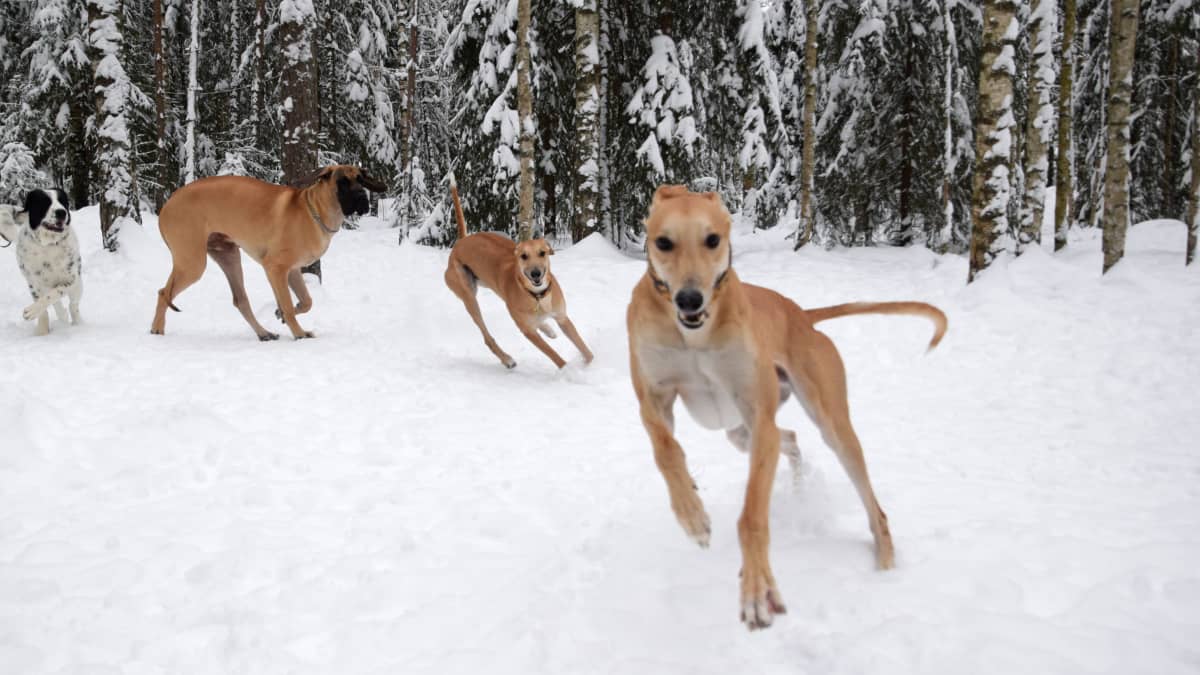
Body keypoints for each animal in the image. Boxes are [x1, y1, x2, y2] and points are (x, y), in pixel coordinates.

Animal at [0, 187, 81, 333]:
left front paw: (31, 311)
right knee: (58, 304)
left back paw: (77, 323)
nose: (61, 212)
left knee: (73, 305)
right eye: (45, 203)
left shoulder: (71, 279)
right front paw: (42, 332)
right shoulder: (33, 282)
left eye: (63, 202)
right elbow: (43, 307)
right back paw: (62, 316)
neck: (48, 244)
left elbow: (55, 293)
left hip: (77, 285)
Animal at [148, 165, 384, 338]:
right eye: (342, 182)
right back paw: (157, 329)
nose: (363, 198)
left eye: (361, 180)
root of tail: (168, 203)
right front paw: (298, 332)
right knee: (163, 292)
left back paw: (264, 333)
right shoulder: (275, 268)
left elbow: (306, 301)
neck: (315, 211)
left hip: (229, 256)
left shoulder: (293, 271)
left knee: (241, 300)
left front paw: (284, 314)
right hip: (192, 263)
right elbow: (288, 304)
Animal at [444, 170, 592, 365]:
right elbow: (554, 356)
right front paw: (570, 371)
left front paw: (591, 364)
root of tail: (461, 243)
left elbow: (584, 348)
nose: (536, 274)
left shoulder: (562, 318)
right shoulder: (528, 332)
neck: (537, 297)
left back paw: (548, 329)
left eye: (542, 253)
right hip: (469, 297)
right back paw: (506, 359)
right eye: (523, 256)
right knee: (487, 337)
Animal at [628, 182, 945, 624]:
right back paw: (796, 481)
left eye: (712, 239)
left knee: (869, 502)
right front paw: (692, 514)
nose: (689, 299)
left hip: (829, 424)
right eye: (663, 242)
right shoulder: (654, 399)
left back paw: (884, 559)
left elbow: (752, 516)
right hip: (740, 433)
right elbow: (666, 451)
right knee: (789, 438)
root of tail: (804, 315)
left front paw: (757, 588)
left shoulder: (758, 415)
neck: (693, 334)